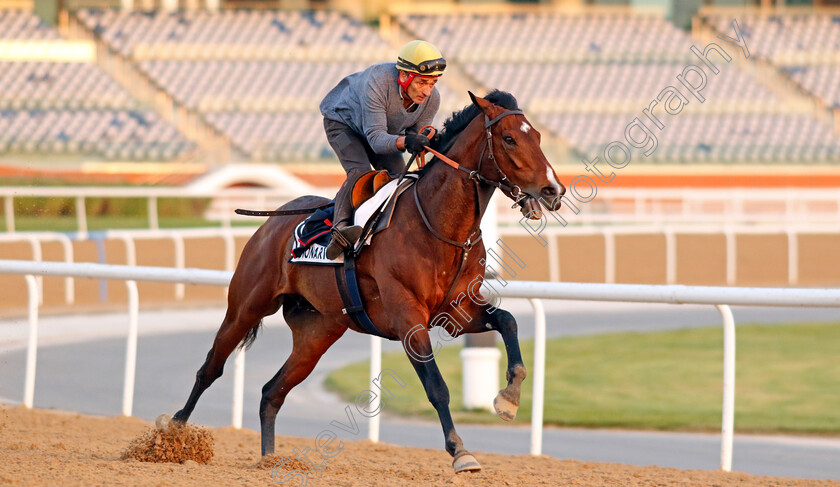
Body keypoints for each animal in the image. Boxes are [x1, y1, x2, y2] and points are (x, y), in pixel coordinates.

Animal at [170, 90, 564, 472]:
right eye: (509, 138)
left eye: (538, 136)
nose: (553, 190)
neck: (439, 227)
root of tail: (273, 221)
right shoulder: (408, 318)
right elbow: (436, 386)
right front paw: (460, 452)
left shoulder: (456, 311)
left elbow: (508, 321)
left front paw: (509, 399)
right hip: (247, 306)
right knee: (210, 368)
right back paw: (171, 435)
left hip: (317, 332)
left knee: (272, 391)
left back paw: (269, 460)